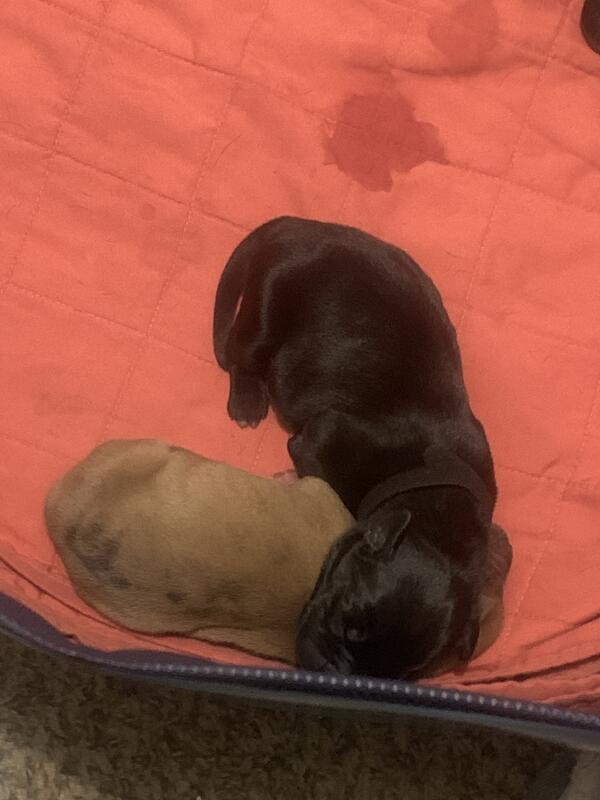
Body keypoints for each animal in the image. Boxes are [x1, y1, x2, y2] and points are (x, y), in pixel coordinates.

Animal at [213, 216, 501, 678]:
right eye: (347, 622)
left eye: (397, 676)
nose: (331, 670)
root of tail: (299, 226)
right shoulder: (316, 443)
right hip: (266, 306)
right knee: (243, 352)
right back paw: (247, 400)